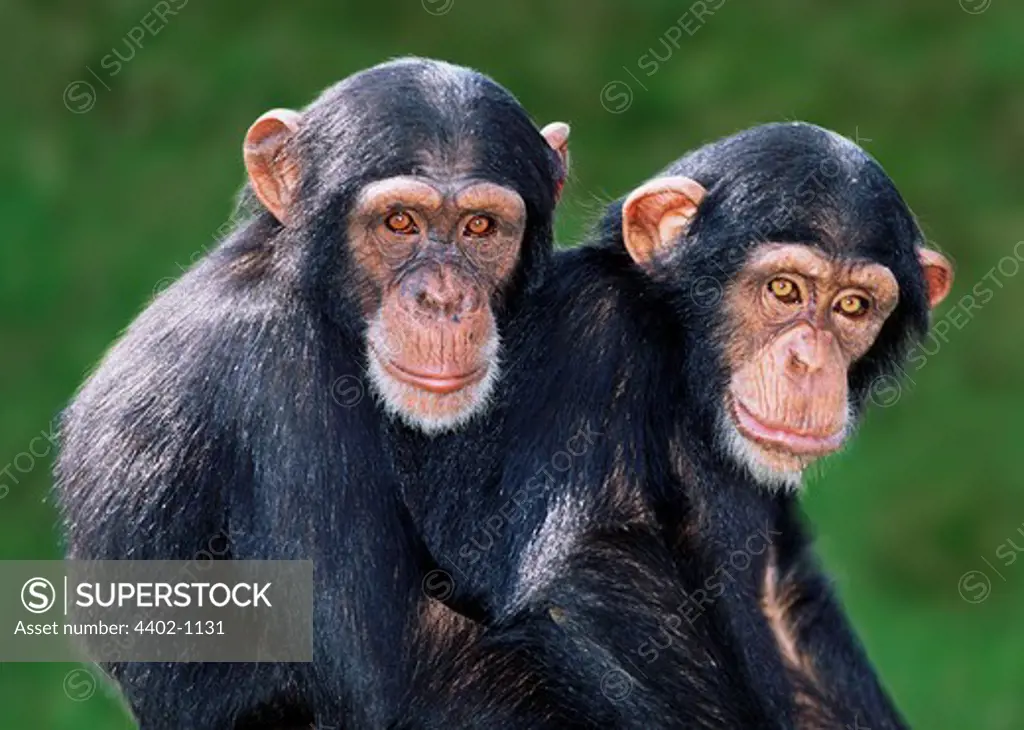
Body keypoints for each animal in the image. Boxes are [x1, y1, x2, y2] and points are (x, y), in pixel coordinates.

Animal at [391, 122, 950, 724]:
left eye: (853, 306)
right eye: (784, 289)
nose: (809, 360)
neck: (679, 359)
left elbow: (780, 608)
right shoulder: (588, 331)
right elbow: (579, 580)